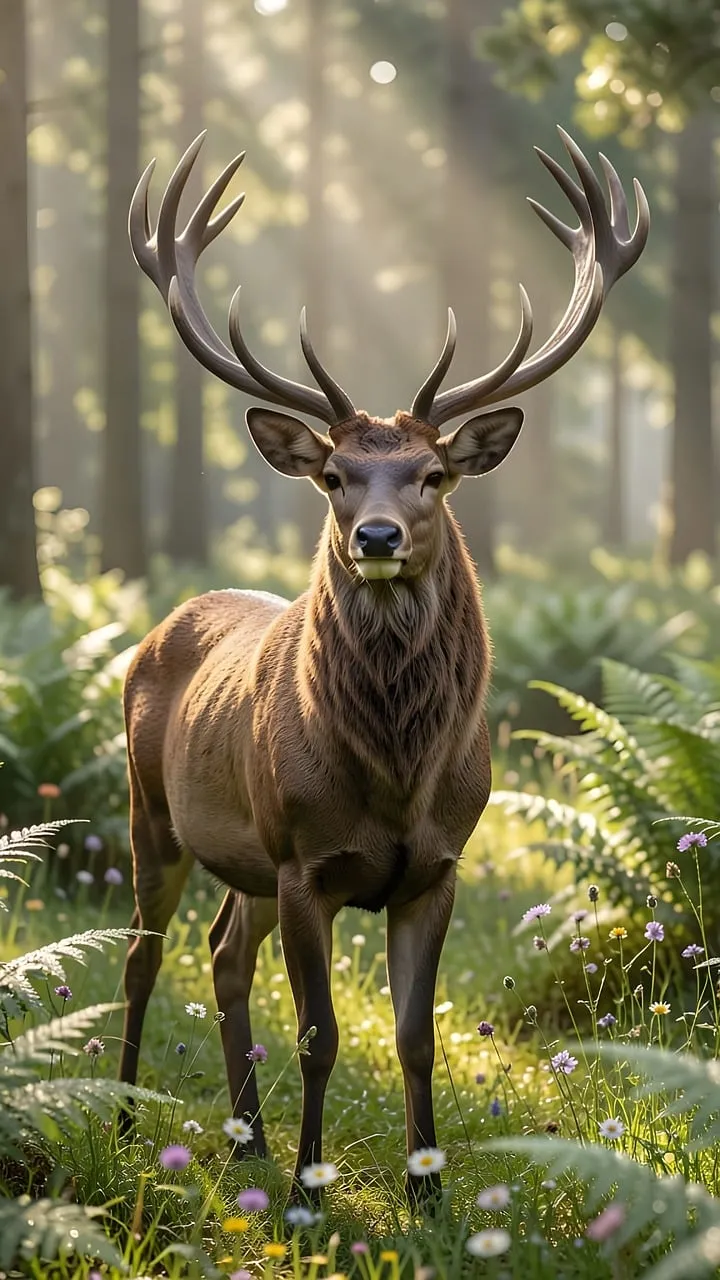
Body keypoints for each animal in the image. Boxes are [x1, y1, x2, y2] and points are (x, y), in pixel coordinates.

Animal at [119, 127, 648, 1200]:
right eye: (333, 474)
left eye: (432, 474)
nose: (374, 535)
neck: (398, 776)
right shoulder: (303, 861)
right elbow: (321, 1036)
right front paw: (308, 1194)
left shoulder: (436, 865)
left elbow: (415, 1037)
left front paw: (429, 1186)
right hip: (156, 813)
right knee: (143, 959)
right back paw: (122, 1117)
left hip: (241, 856)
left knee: (222, 954)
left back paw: (249, 1137)